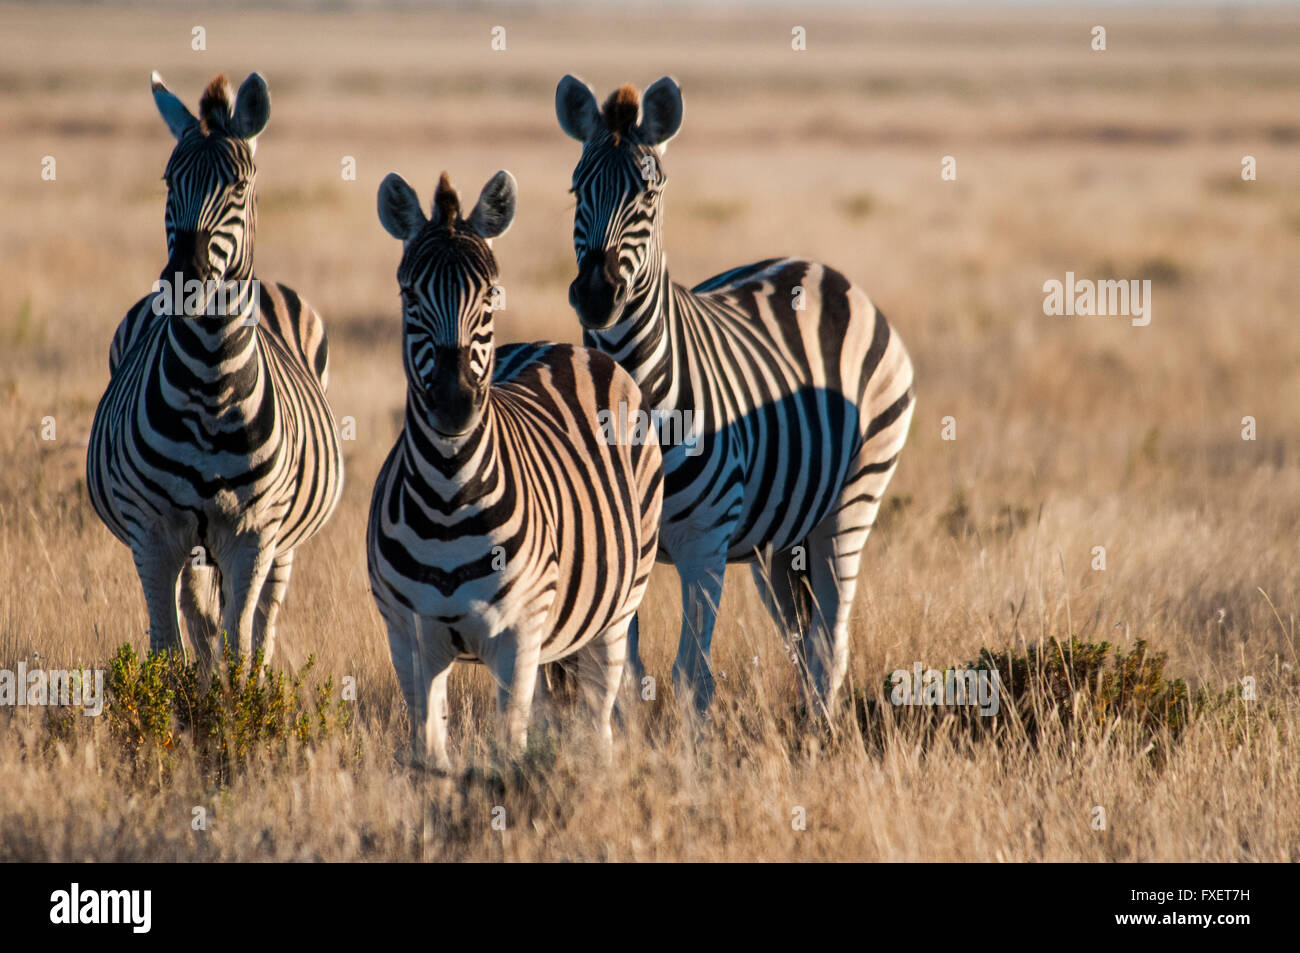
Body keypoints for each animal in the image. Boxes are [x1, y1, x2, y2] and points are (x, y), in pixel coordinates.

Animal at [87, 74, 345, 665]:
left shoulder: (252, 534)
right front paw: (179, 693)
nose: (184, 277)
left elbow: (238, 644)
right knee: (198, 615)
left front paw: (237, 693)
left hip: (282, 542)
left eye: (239, 186)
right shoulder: (153, 534)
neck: (210, 377)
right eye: (168, 180)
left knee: (262, 625)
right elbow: (167, 648)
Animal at [371, 167, 665, 769]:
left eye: (489, 295)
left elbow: (509, 745)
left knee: (598, 722)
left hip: (616, 612)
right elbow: (427, 752)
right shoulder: (406, 634)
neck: (446, 498)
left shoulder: (519, 634)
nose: (453, 404)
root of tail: (570, 347)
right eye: (409, 294)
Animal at [556, 74, 915, 712]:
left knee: (829, 641)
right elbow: (621, 678)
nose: (598, 296)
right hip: (780, 538)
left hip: (854, 499)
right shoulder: (625, 547)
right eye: (577, 190)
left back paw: (820, 730)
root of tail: (822, 269)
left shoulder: (705, 545)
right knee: (801, 635)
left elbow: (691, 676)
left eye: (649, 196)